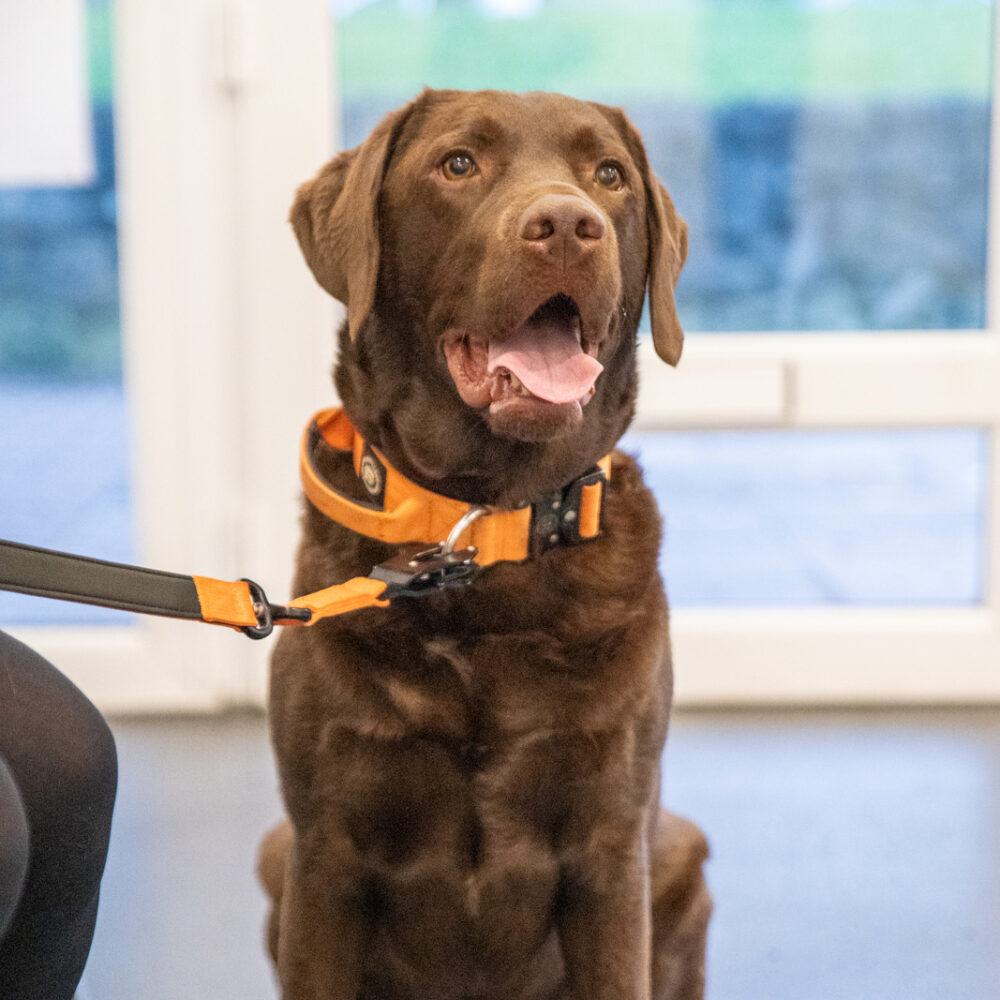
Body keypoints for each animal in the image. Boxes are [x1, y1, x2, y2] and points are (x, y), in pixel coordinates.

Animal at [258, 90, 712, 996]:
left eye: (608, 175)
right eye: (458, 164)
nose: (568, 224)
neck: (486, 526)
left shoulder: (613, 849)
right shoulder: (324, 851)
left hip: (680, 856)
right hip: (275, 858)